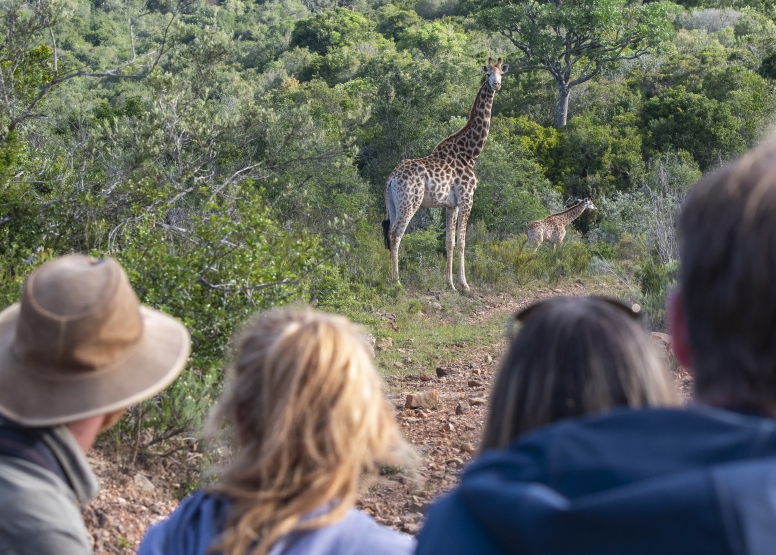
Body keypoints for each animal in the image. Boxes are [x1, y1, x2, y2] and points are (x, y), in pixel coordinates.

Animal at [382, 57, 510, 294]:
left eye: (501, 73)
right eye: (488, 73)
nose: (496, 85)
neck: (470, 153)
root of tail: (391, 179)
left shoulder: (451, 205)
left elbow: (449, 242)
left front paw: (450, 284)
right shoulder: (467, 199)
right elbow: (462, 242)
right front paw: (465, 284)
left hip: (393, 204)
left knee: (388, 233)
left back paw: (389, 278)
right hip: (410, 203)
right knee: (395, 235)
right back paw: (397, 282)